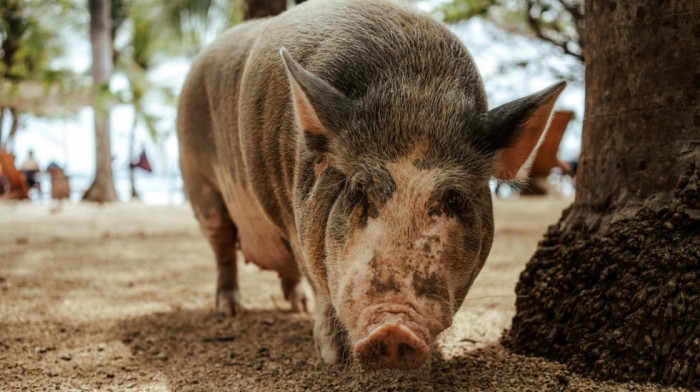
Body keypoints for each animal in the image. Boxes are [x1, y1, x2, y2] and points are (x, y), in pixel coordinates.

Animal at [178, 0, 568, 370]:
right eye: (358, 190)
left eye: (454, 199)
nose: (393, 328)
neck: (414, 92)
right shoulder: (291, 219)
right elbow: (317, 282)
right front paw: (333, 358)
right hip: (200, 183)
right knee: (223, 249)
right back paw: (231, 311)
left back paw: (296, 308)